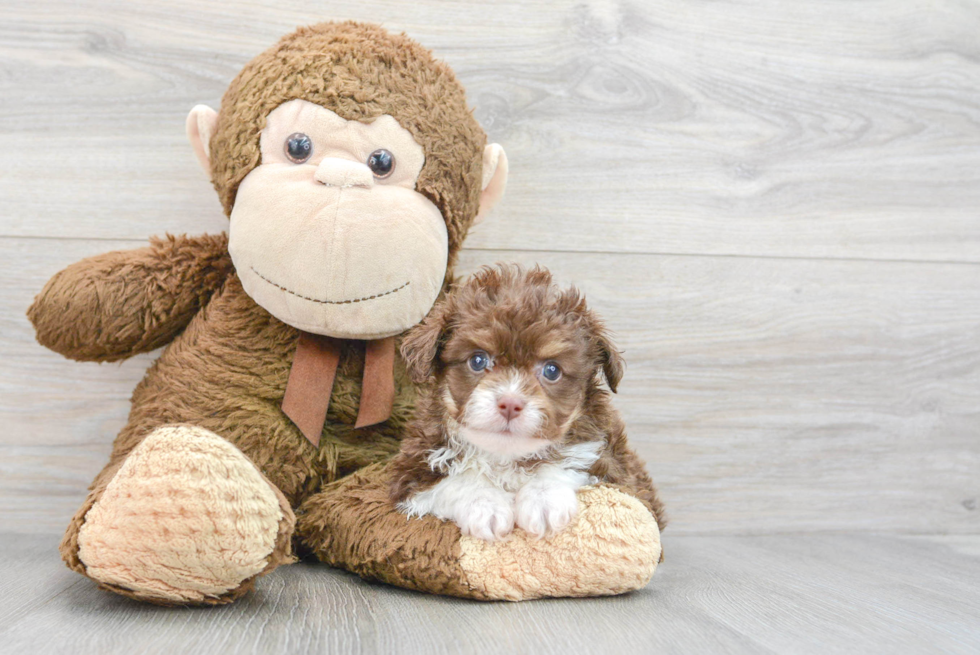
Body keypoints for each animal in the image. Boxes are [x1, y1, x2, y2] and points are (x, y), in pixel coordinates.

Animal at [390, 264, 668, 540]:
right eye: (478, 361)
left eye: (552, 370)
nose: (510, 404)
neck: (506, 456)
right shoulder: (411, 471)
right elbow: (454, 481)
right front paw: (486, 505)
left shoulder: (616, 468)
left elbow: (567, 463)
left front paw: (544, 499)